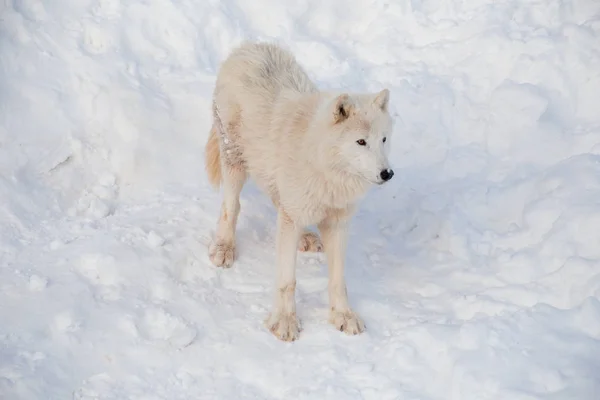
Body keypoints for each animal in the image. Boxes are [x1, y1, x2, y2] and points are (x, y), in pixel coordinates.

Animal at [206, 41, 394, 340]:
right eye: (361, 142)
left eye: (384, 140)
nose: (387, 173)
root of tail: (248, 46)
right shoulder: (292, 219)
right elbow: (287, 280)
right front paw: (284, 322)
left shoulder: (337, 224)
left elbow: (338, 280)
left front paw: (343, 316)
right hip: (235, 163)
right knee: (231, 207)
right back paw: (224, 248)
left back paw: (306, 237)